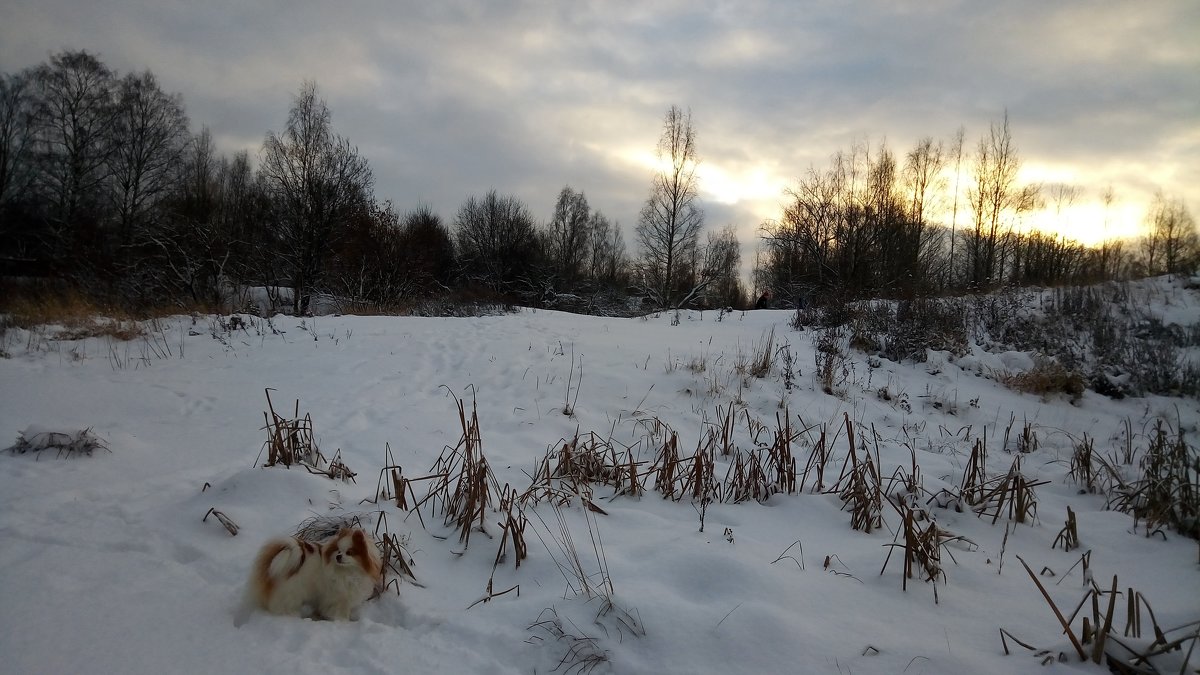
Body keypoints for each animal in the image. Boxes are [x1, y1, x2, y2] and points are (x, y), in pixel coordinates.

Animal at [248, 526, 384, 619]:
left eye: (349, 552)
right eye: (338, 551)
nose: (338, 557)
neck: (349, 571)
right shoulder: (339, 598)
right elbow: (341, 612)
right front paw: (343, 622)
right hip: (292, 592)